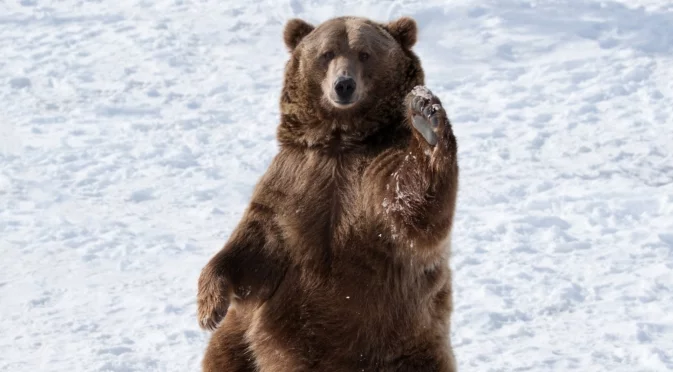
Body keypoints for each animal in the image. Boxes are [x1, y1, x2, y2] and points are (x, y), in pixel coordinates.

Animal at [194, 15, 456, 372]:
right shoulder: (294, 179)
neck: (340, 141)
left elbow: (412, 210)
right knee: (226, 353)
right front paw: (209, 307)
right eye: (327, 53)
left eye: (364, 53)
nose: (343, 85)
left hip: (406, 345)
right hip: (241, 340)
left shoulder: (373, 176)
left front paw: (426, 119)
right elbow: (254, 242)